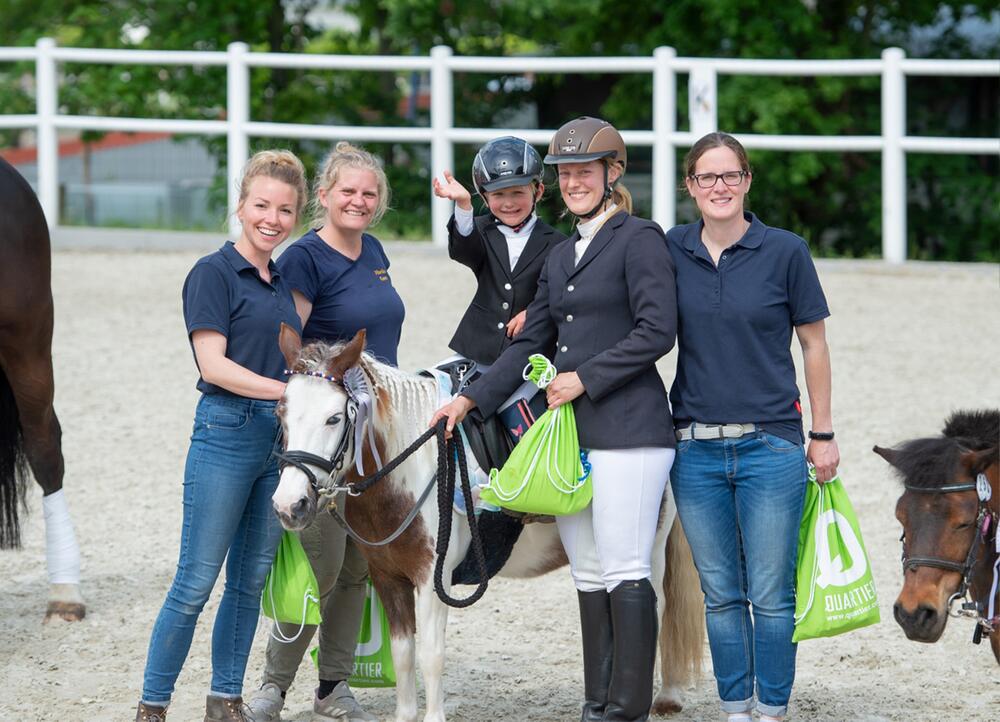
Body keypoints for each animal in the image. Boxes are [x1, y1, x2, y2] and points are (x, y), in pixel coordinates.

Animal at [270, 328, 700, 720]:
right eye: (281, 412)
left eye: (334, 418)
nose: (290, 505)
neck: (410, 470)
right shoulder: (389, 578)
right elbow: (404, 655)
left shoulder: (432, 580)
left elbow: (431, 657)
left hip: (645, 542)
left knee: (657, 608)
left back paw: (657, 698)